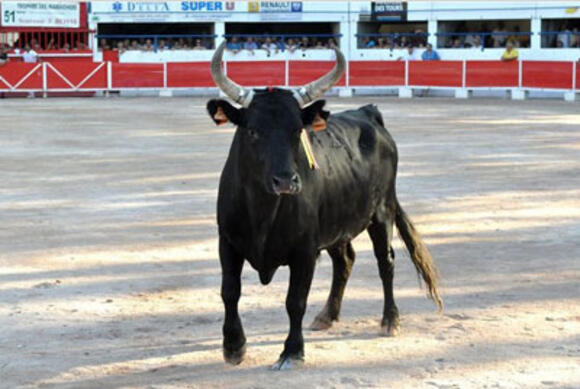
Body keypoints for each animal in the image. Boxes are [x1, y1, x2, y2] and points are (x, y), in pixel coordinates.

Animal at [206, 88, 442, 370]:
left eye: (298, 130)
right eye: (252, 130)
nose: (285, 181)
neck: (263, 210)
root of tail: (368, 112)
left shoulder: (305, 251)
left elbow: (295, 301)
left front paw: (292, 352)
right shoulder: (227, 241)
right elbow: (230, 291)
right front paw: (233, 346)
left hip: (382, 211)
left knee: (385, 261)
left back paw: (390, 321)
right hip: (336, 224)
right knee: (345, 260)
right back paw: (327, 316)